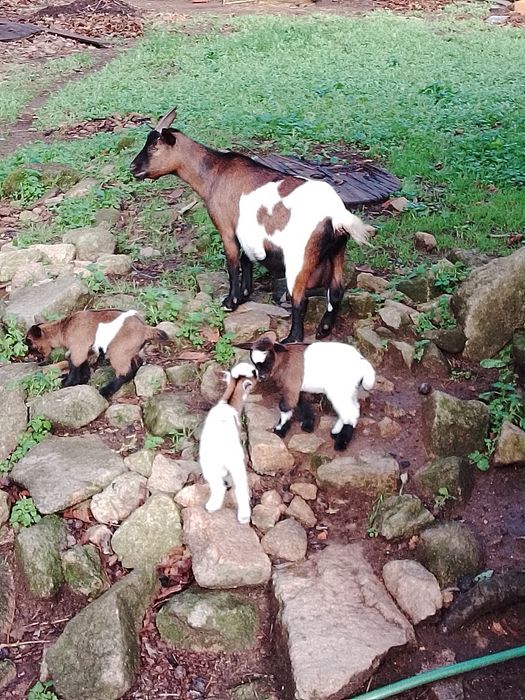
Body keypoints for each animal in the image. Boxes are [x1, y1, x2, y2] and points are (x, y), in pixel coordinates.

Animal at [25, 309, 168, 398]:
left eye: (30, 344)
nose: (29, 356)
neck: (63, 328)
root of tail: (145, 329)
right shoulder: (85, 349)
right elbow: (83, 366)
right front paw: (81, 380)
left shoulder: (78, 348)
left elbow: (74, 365)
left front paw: (67, 383)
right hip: (130, 351)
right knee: (136, 364)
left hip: (118, 352)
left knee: (124, 372)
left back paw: (106, 391)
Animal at [130, 107, 374, 344]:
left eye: (154, 147)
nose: (133, 168)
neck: (214, 173)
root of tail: (337, 215)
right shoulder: (247, 233)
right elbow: (247, 260)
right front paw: (246, 294)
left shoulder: (227, 229)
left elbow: (233, 264)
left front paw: (231, 301)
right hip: (337, 252)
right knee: (336, 291)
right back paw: (323, 329)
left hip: (300, 259)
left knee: (300, 299)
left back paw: (291, 339)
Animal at [199, 362, 257, 524]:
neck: (228, 402)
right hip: (237, 465)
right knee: (241, 489)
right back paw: (244, 516)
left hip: (209, 466)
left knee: (218, 486)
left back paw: (212, 506)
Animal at [237, 335, 375, 451]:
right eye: (254, 362)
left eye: (269, 359)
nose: (262, 377)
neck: (285, 360)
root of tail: (362, 362)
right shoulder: (296, 387)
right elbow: (300, 401)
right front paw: (308, 423)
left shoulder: (291, 384)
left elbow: (285, 406)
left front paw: (280, 429)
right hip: (349, 389)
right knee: (353, 409)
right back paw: (336, 432)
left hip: (340, 390)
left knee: (350, 412)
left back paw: (341, 443)